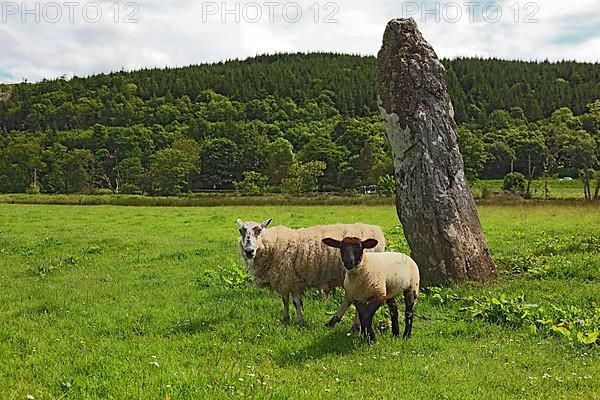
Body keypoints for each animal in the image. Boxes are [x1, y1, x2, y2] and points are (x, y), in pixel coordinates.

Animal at [234, 219, 384, 322]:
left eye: (259, 230)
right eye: (241, 231)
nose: (249, 251)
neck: (273, 245)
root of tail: (376, 232)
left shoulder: (292, 279)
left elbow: (296, 302)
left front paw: (299, 320)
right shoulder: (284, 279)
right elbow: (284, 300)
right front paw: (286, 318)